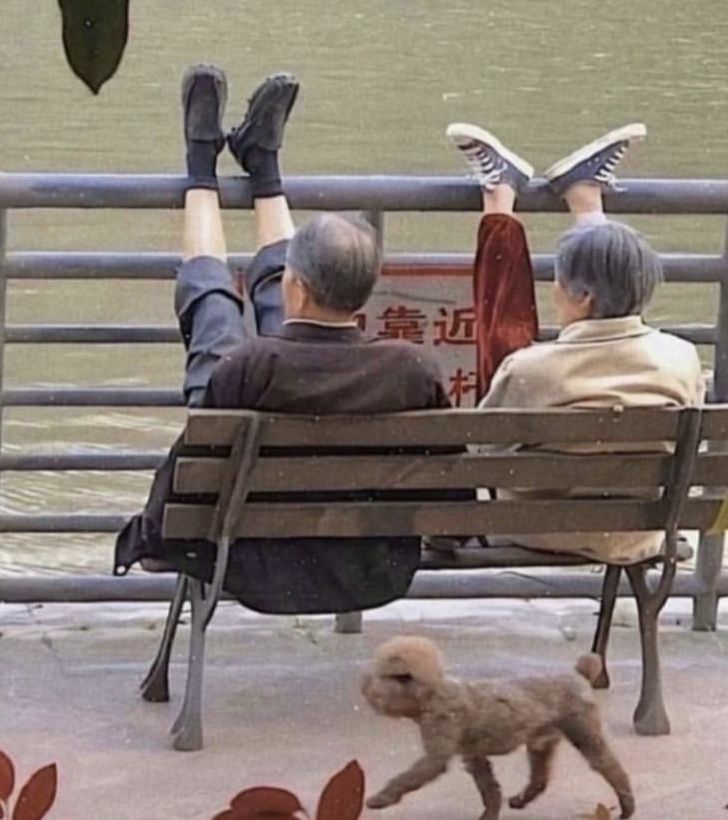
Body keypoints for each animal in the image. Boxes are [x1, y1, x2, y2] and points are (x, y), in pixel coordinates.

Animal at [362, 636, 636, 820]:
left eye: (382, 676)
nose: (364, 686)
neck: (432, 693)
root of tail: (578, 675)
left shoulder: (437, 749)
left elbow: (408, 777)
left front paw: (381, 798)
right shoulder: (474, 756)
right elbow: (489, 789)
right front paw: (490, 813)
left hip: (585, 734)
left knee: (612, 769)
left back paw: (627, 805)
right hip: (541, 742)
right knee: (540, 778)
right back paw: (522, 799)